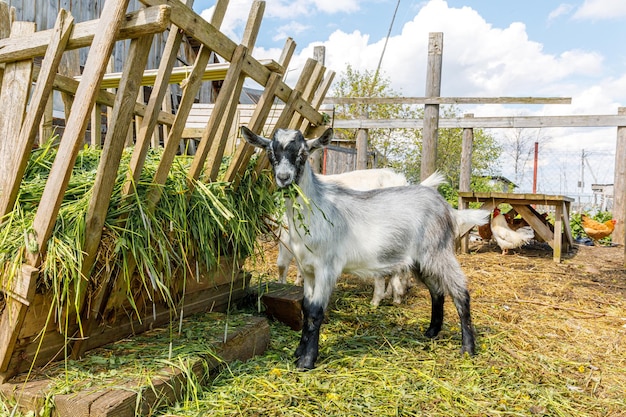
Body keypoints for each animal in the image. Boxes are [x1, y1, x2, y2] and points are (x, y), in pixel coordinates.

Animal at [243, 125, 482, 368]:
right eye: (271, 154)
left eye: (302, 154)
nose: (284, 177)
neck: (317, 208)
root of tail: (448, 208)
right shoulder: (307, 269)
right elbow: (306, 309)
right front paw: (299, 352)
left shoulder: (327, 267)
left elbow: (316, 312)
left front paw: (307, 361)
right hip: (420, 260)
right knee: (437, 291)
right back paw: (432, 331)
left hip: (438, 251)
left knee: (460, 292)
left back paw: (468, 349)